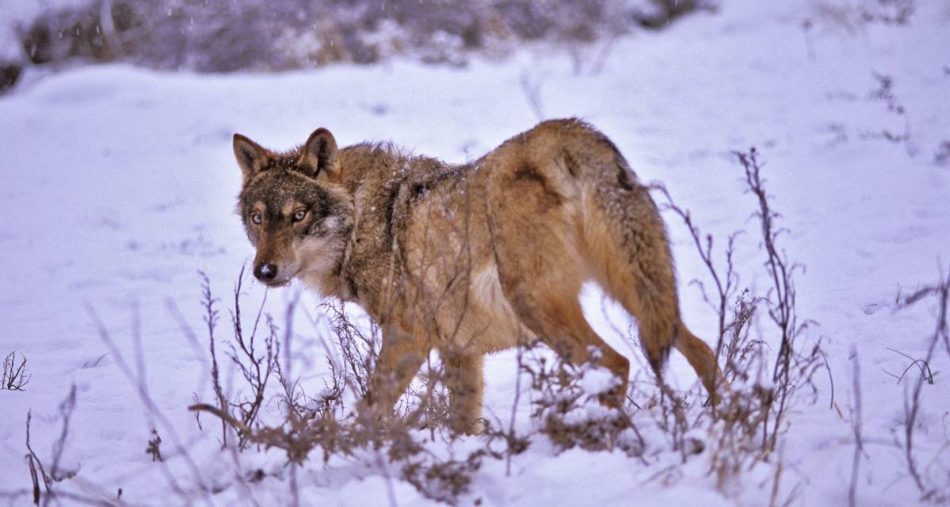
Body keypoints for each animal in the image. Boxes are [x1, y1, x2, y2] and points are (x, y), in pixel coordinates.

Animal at [232, 118, 720, 432]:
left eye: (298, 215)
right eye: (257, 219)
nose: (264, 271)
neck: (366, 217)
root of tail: (564, 132)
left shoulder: (408, 338)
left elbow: (369, 409)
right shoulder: (460, 350)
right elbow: (463, 423)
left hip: (539, 307)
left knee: (618, 364)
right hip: (640, 293)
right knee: (701, 348)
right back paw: (724, 423)